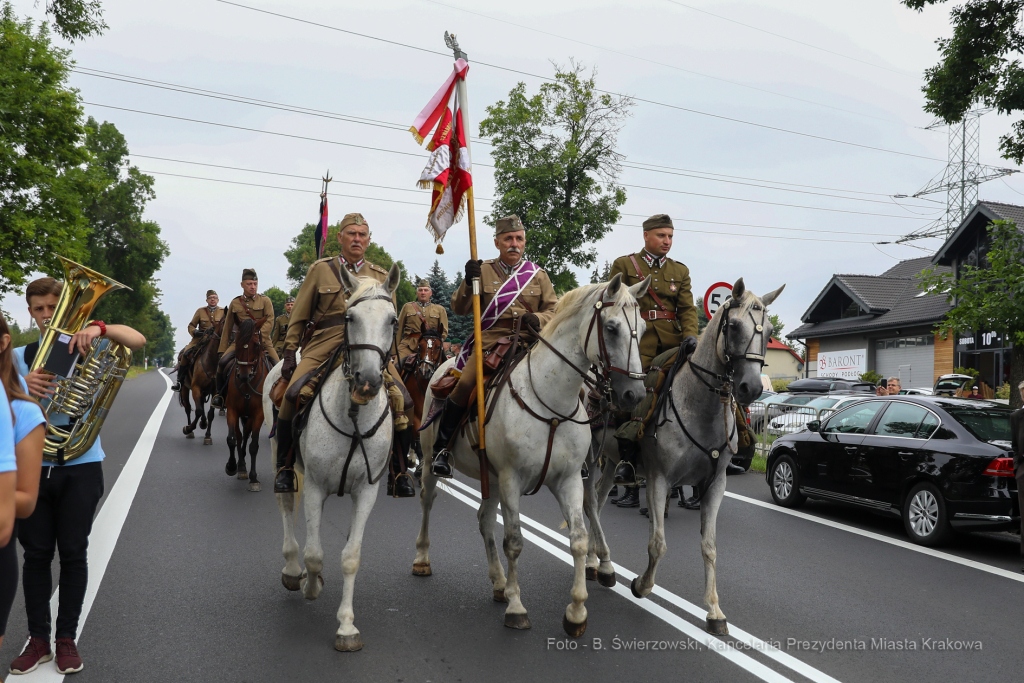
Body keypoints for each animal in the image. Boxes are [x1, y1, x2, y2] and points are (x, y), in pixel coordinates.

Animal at [181, 313, 223, 444]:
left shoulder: (214, 391)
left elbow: (210, 413)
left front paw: (208, 436)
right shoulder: (196, 388)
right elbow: (198, 410)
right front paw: (188, 428)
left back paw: (203, 423)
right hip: (184, 388)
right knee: (188, 408)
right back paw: (190, 431)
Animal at [225, 321, 268, 491]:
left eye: (256, 345)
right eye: (236, 342)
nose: (243, 375)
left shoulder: (258, 415)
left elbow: (253, 445)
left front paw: (254, 478)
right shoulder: (232, 411)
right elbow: (232, 439)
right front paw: (231, 466)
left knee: (245, 436)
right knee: (239, 436)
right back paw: (241, 466)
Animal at [268, 264, 399, 651]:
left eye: (392, 320)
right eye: (349, 317)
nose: (368, 380)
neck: (353, 412)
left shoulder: (366, 492)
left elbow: (350, 557)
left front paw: (347, 626)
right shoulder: (314, 485)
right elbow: (315, 554)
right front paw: (310, 585)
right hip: (279, 458)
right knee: (286, 506)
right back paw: (292, 570)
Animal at [413, 274, 647, 638]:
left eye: (645, 328)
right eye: (611, 328)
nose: (634, 394)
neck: (552, 401)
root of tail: (445, 364)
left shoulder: (568, 480)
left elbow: (579, 539)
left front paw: (576, 612)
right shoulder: (512, 480)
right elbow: (515, 541)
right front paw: (517, 608)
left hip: (492, 478)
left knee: (484, 518)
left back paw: (498, 582)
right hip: (430, 459)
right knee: (428, 498)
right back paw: (423, 560)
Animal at [585, 276, 782, 634]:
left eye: (770, 330)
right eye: (733, 325)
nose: (751, 388)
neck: (699, 407)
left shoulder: (714, 485)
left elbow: (709, 546)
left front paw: (714, 612)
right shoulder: (659, 479)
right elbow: (658, 543)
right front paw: (641, 585)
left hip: (611, 463)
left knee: (600, 499)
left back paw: (596, 561)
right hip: (591, 457)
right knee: (589, 503)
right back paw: (597, 564)